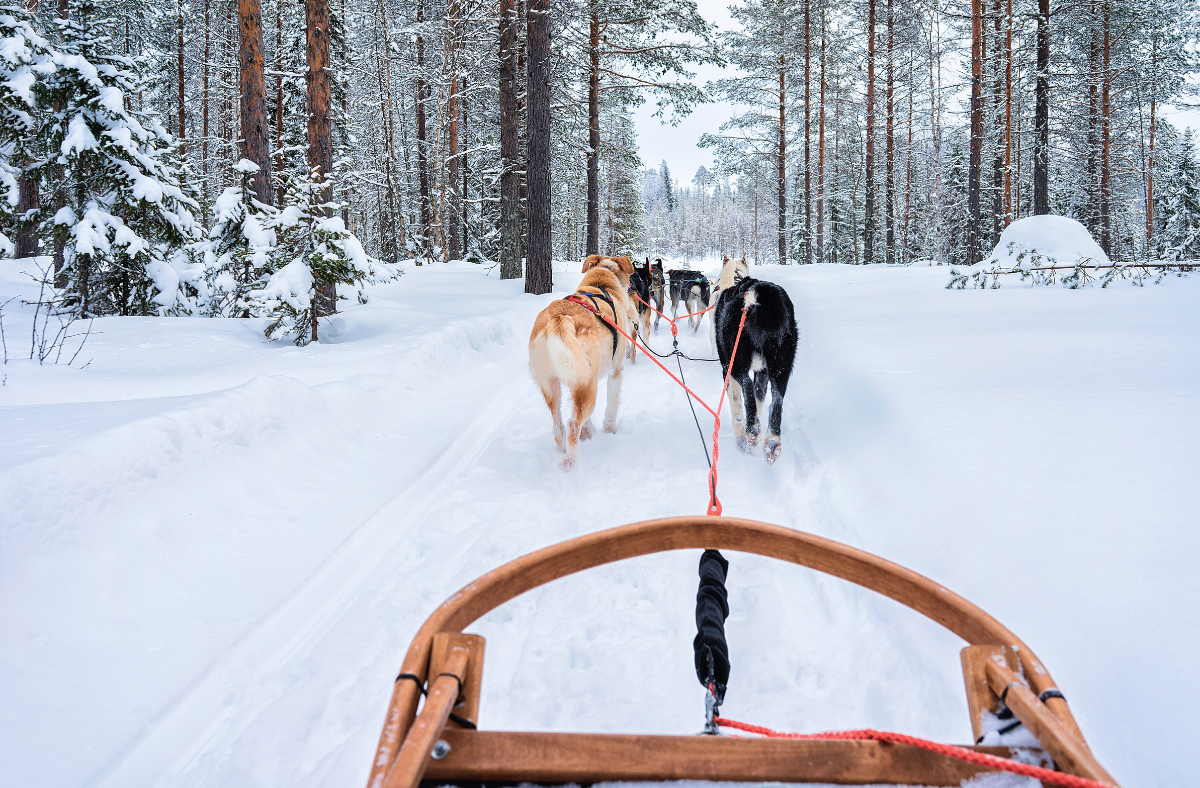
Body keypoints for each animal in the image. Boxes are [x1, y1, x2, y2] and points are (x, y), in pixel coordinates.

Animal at [528, 255, 638, 470]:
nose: (631, 287)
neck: (601, 284)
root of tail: (559, 317)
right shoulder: (615, 373)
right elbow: (612, 405)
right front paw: (609, 428)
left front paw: (588, 431)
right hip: (587, 384)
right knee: (572, 423)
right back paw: (571, 459)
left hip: (552, 386)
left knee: (559, 426)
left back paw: (564, 448)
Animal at [710, 253, 796, 460]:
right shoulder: (763, 372)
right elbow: (760, 401)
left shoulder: (727, 369)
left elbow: (737, 408)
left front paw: (742, 441)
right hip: (781, 365)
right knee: (776, 401)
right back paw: (771, 441)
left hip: (736, 360)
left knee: (747, 387)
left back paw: (753, 429)